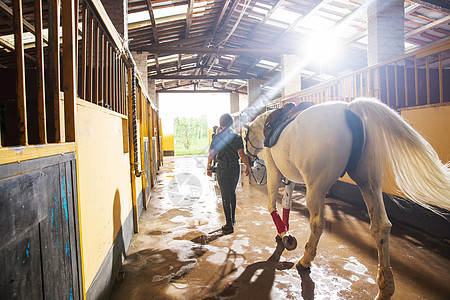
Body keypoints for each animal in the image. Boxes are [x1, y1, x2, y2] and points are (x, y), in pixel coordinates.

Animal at [244, 98, 450, 300]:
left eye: (245, 138)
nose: (249, 159)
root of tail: (349, 109)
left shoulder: (275, 173)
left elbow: (272, 204)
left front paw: (284, 235)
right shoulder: (290, 178)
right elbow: (286, 204)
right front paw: (285, 233)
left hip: (316, 187)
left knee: (318, 223)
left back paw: (305, 260)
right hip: (369, 183)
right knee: (380, 227)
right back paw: (385, 286)